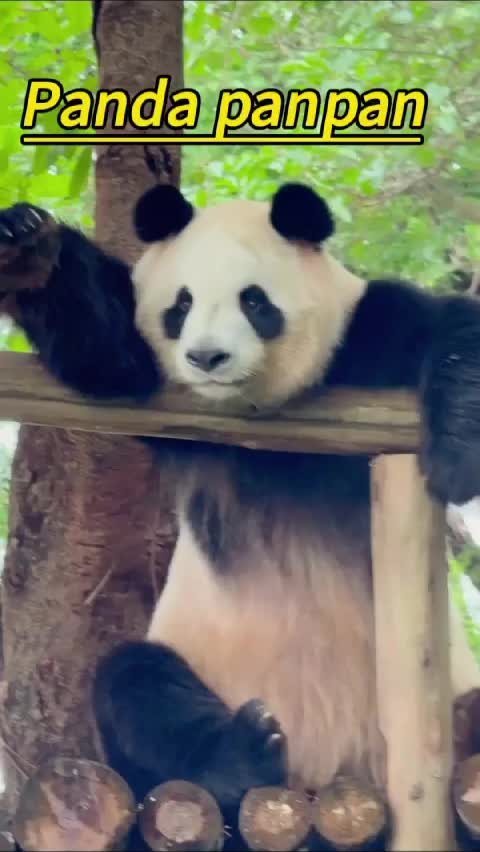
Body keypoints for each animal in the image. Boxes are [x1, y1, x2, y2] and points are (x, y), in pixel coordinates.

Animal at [1, 182, 480, 829]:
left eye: (254, 301)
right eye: (181, 305)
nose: (206, 358)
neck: (259, 407)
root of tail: (320, 790)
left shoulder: (368, 337)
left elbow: (449, 330)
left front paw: (458, 450)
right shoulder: (173, 406)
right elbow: (109, 356)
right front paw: (28, 244)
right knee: (135, 685)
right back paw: (242, 754)